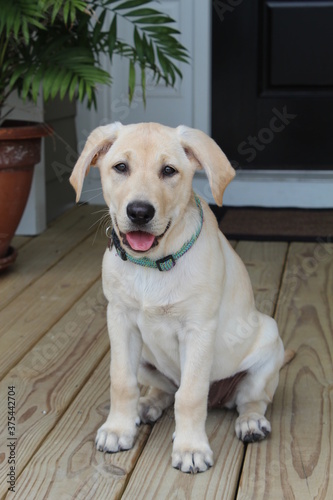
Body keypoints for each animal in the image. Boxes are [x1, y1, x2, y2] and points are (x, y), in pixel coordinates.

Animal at [69, 123, 282, 474]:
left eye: (168, 171)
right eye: (120, 167)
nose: (139, 212)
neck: (152, 265)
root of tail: (218, 397)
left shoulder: (198, 329)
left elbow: (191, 395)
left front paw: (190, 448)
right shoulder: (120, 320)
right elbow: (121, 381)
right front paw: (118, 428)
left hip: (268, 345)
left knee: (251, 399)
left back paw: (251, 423)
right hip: (147, 360)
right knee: (164, 390)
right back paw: (146, 406)